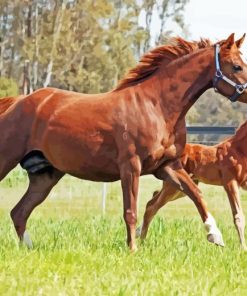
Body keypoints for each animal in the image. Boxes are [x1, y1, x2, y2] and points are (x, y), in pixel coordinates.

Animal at [138, 121, 247, 249]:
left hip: (180, 190)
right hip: (173, 187)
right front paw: (243, 248)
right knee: (151, 206)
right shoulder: (230, 183)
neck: (238, 150)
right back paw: (141, 241)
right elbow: (238, 216)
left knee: (153, 199)